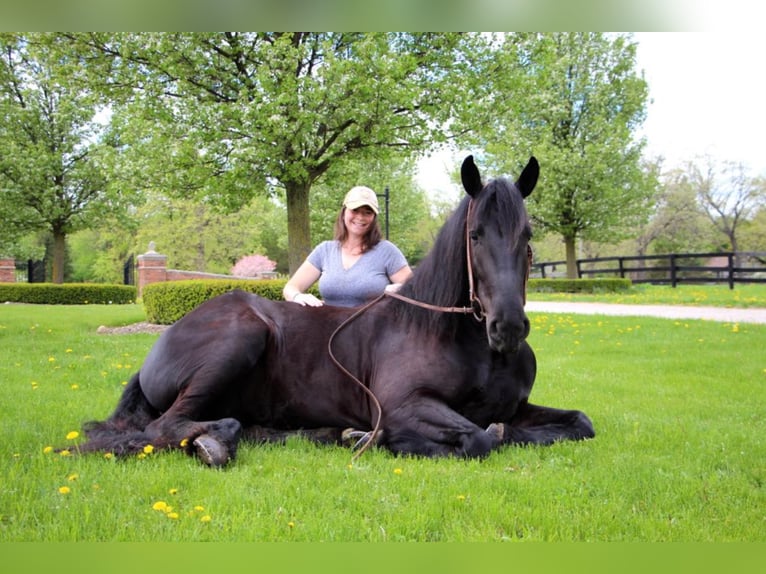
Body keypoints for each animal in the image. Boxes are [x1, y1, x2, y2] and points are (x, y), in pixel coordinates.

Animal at [75, 156, 596, 468]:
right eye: (476, 235)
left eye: (527, 236)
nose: (507, 327)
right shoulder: (405, 405)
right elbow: (480, 439)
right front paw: (390, 441)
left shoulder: (517, 406)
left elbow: (577, 424)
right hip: (237, 340)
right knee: (166, 427)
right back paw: (215, 441)